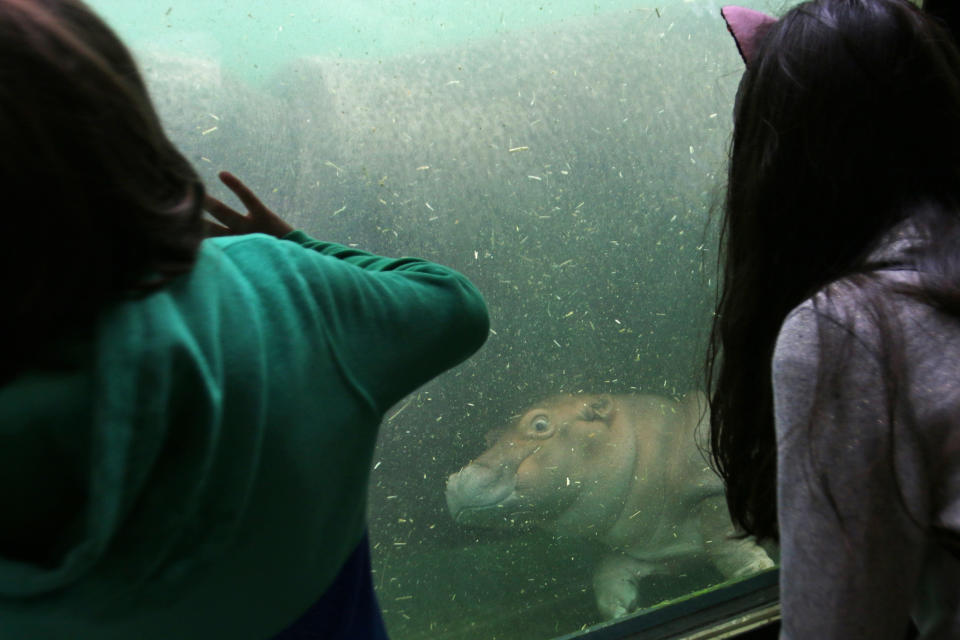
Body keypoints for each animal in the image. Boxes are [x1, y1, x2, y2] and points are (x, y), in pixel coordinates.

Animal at [444, 392, 772, 616]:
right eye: (490, 438)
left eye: (539, 423)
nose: (456, 478)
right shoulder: (664, 545)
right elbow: (608, 567)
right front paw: (620, 608)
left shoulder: (712, 493)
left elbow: (722, 537)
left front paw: (755, 569)